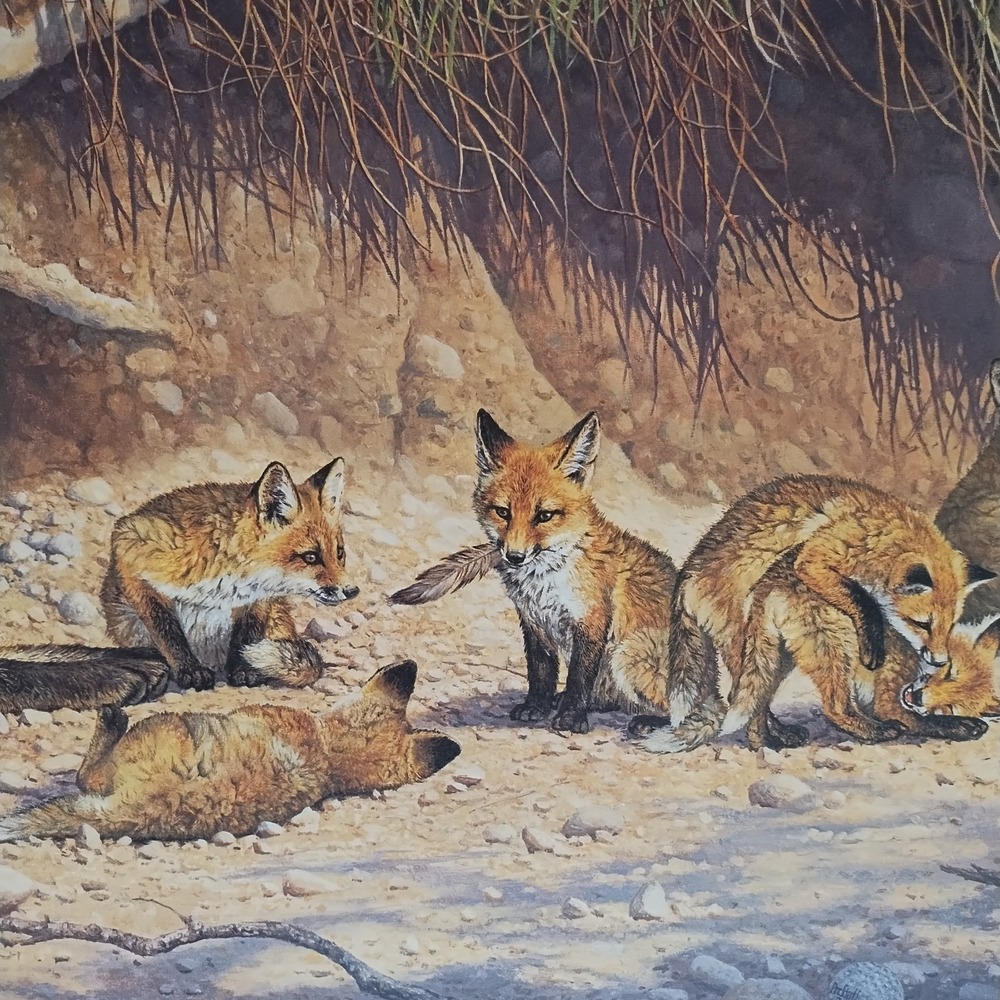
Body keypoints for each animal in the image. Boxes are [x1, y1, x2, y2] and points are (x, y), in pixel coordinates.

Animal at [0, 458, 360, 711]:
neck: (227, 582)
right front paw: (188, 669)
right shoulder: (133, 548)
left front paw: (243, 669)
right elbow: (167, 630)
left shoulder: (258, 602)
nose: (350, 590)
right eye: (310, 557)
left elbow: (247, 635)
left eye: (339, 553)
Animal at [391, 409, 676, 735]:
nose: (514, 556)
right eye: (503, 512)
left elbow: (579, 677)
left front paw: (570, 718)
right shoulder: (534, 621)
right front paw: (536, 707)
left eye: (544, 516)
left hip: (629, 656)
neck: (543, 582)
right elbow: (541, 672)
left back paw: (652, 720)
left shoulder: (591, 621)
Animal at [630, 474, 995, 753]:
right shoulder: (817, 558)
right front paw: (874, 643)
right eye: (922, 623)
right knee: (785, 701)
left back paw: (775, 736)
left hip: (780, 653)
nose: (938, 660)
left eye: (949, 625)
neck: (886, 529)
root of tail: (686, 575)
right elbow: (864, 605)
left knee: (750, 699)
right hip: (789, 640)